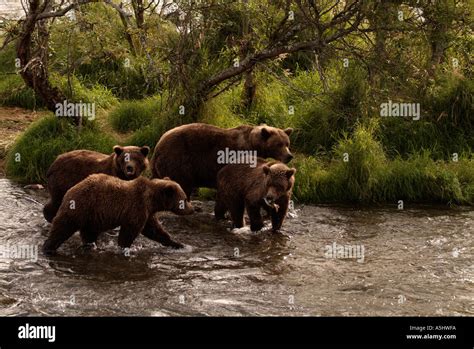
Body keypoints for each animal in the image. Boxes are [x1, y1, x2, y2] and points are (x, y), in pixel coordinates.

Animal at [42, 173, 193, 253]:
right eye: (185, 199)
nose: (192, 209)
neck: (152, 199)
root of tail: (70, 190)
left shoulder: (148, 212)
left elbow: (154, 230)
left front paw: (178, 244)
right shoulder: (136, 207)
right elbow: (130, 231)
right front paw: (125, 248)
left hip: (91, 217)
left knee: (88, 233)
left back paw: (91, 246)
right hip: (82, 206)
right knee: (63, 227)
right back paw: (48, 248)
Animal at [152, 123, 292, 197]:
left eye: (287, 143)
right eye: (279, 144)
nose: (289, 156)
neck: (255, 144)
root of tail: (158, 145)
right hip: (178, 159)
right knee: (183, 182)